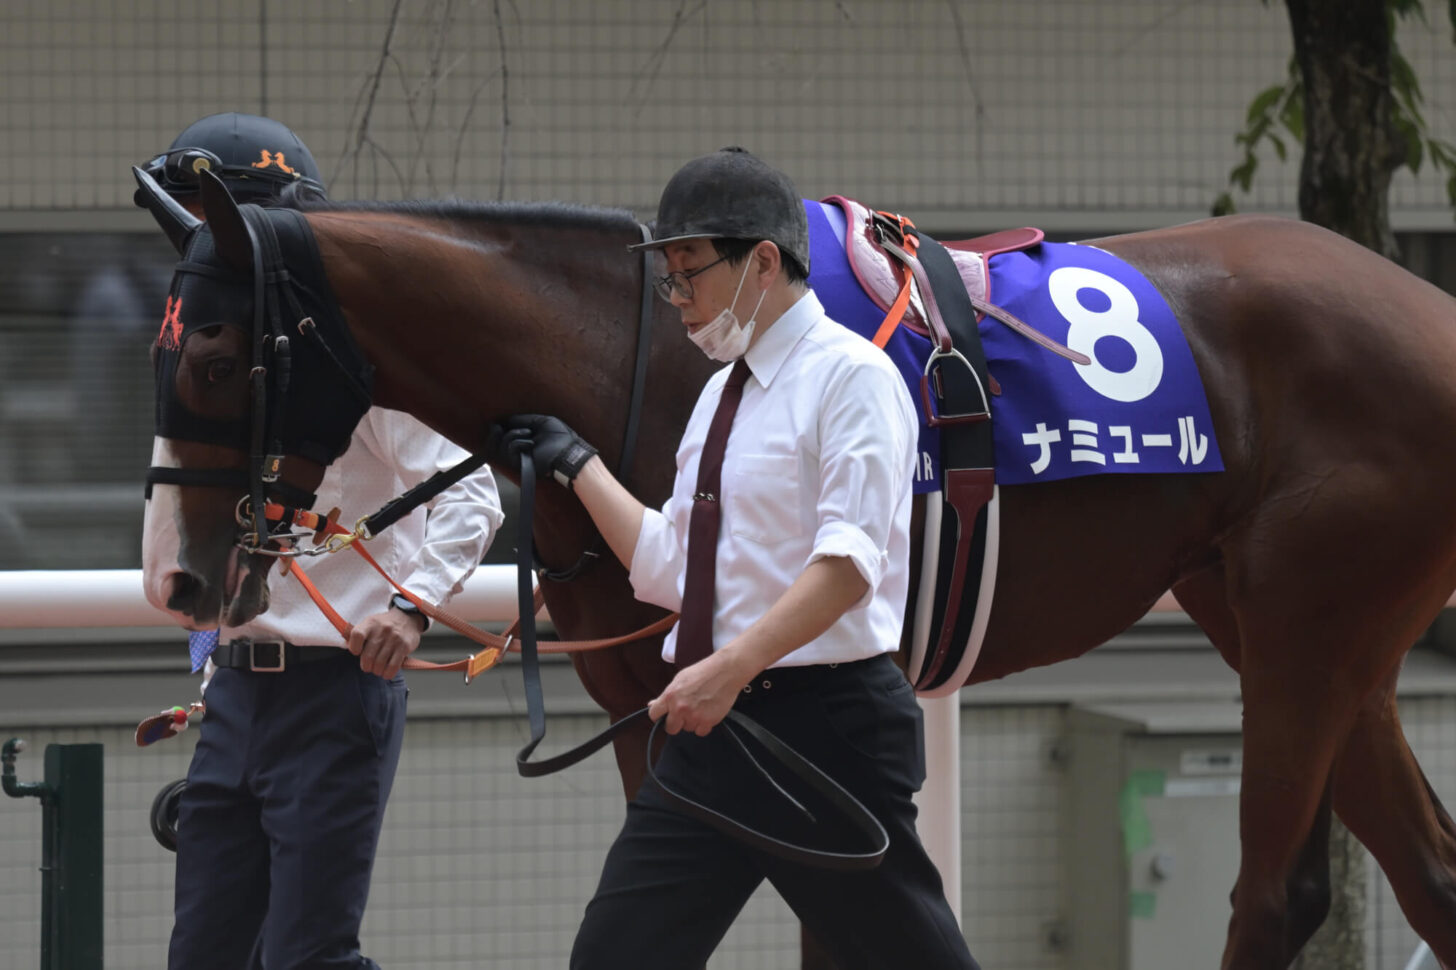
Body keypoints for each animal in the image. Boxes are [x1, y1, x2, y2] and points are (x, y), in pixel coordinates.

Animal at [139, 169, 1456, 961]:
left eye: (211, 355)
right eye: (165, 353)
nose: (178, 582)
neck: (633, 353)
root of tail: (1425, 305)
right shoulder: (650, 706)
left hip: (1306, 623)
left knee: (1274, 895)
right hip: (1285, 623)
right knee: (1430, 875)